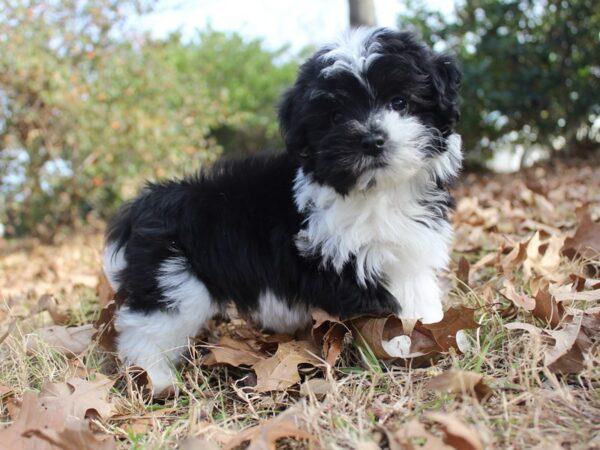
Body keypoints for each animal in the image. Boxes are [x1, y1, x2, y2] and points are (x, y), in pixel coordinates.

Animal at [103, 29, 462, 394]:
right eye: (335, 117)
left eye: (399, 102)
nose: (372, 139)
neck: (377, 192)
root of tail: (144, 204)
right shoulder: (347, 261)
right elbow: (389, 307)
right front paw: (402, 343)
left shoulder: (408, 252)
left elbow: (417, 291)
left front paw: (431, 330)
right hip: (174, 280)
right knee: (149, 326)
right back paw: (156, 378)